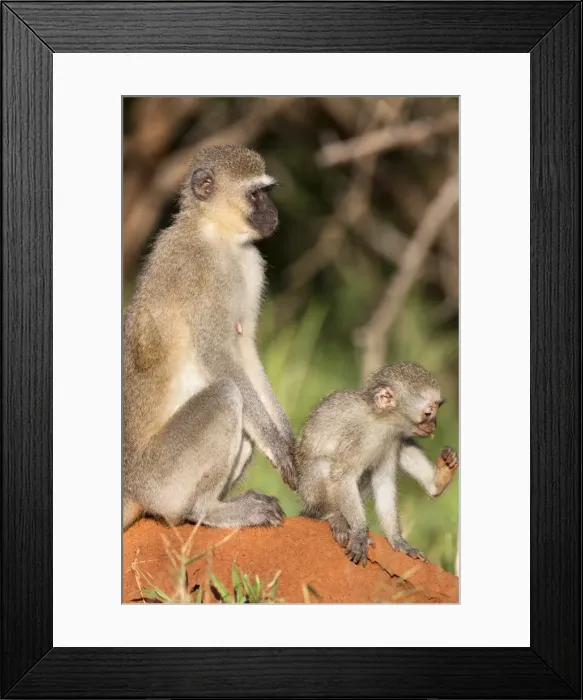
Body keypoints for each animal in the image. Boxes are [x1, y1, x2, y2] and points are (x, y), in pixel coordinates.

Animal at [123, 144, 297, 532]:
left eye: (267, 192)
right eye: (255, 195)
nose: (273, 212)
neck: (217, 235)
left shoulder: (251, 264)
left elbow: (244, 351)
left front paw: (286, 437)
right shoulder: (198, 272)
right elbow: (217, 354)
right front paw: (276, 444)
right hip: (162, 479)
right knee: (228, 394)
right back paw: (205, 511)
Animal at [295, 362, 459, 566]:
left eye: (437, 409)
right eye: (428, 412)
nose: (433, 425)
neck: (381, 421)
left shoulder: (392, 439)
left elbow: (384, 480)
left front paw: (396, 538)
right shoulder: (358, 435)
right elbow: (343, 475)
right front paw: (359, 531)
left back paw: (438, 482)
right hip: (309, 495)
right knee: (323, 465)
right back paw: (333, 516)